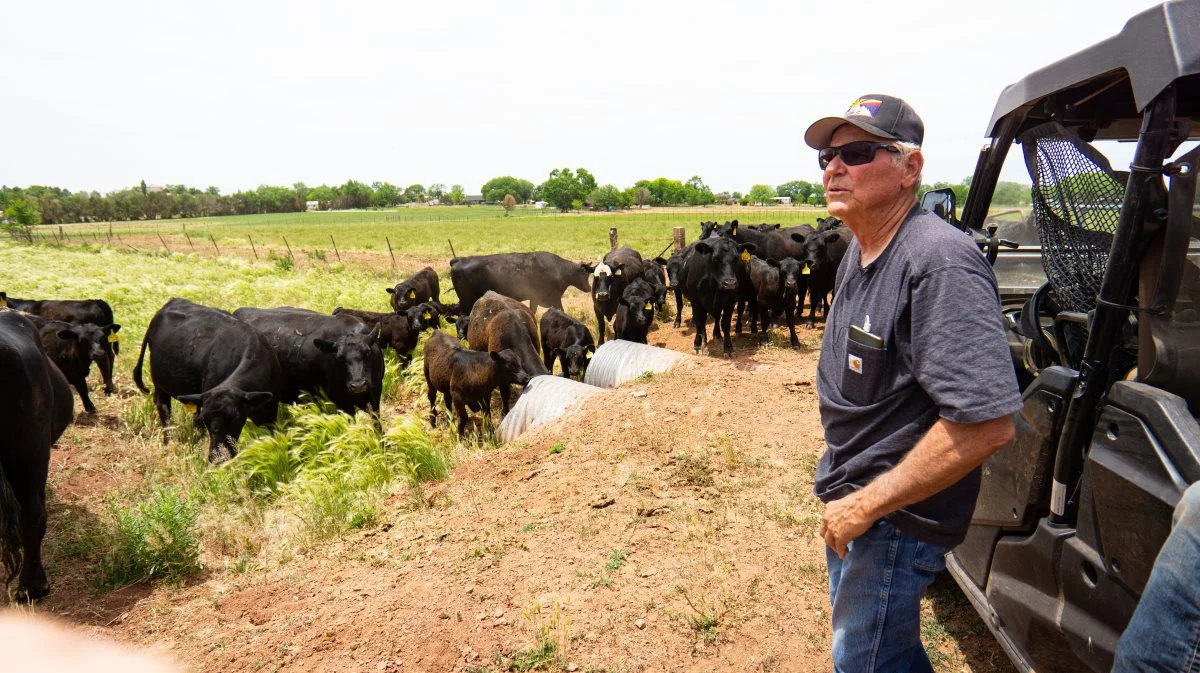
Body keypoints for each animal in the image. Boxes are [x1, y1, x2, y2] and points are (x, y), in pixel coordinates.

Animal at [134, 298, 278, 460]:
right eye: (206, 419)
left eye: (235, 417)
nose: (218, 457)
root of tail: (172, 301)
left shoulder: (271, 411)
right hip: (160, 384)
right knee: (164, 411)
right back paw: (168, 444)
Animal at [448, 250, 592, 316]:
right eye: (585, 274)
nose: (589, 288)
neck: (559, 269)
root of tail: (458, 259)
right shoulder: (554, 298)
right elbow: (562, 311)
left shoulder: (535, 298)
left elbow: (532, 311)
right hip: (466, 302)